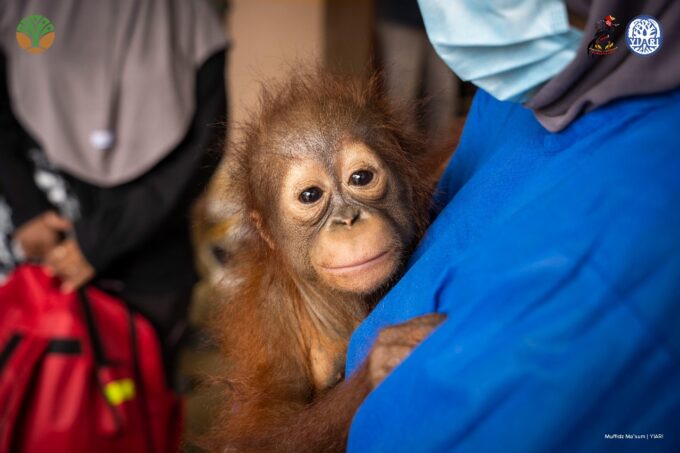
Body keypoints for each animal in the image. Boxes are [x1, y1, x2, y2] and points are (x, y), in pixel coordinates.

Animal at [208, 69, 447, 452]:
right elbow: (254, 438)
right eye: (310, 195)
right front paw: (380, 367)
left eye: (361, 178)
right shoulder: (269, 314)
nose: (348, 220)